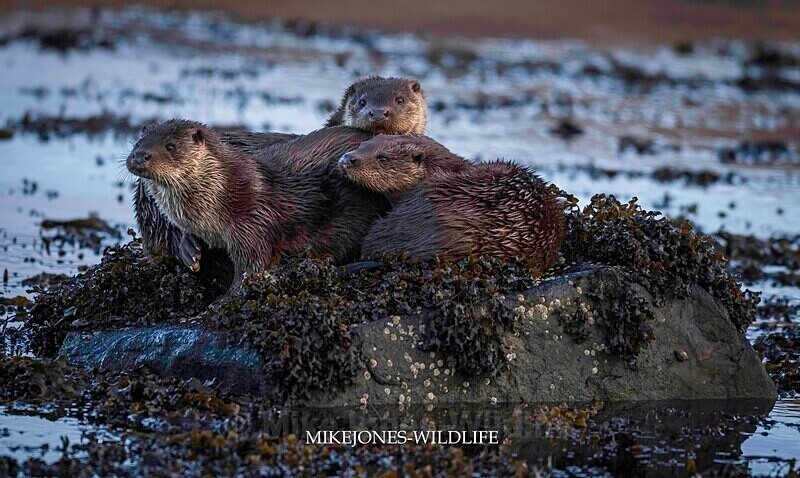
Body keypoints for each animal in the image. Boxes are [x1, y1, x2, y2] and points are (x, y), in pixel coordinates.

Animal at [127, 120, 389, 287]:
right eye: (137, 143)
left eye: (171, 146)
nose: (140, 156)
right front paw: (191, 249)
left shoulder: (253, 225)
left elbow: (250, 272)